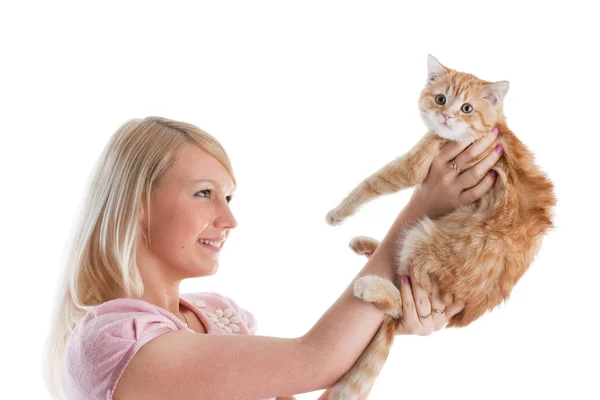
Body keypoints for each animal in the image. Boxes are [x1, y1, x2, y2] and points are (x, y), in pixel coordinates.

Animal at [326, 54, 556, 398]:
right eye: (440, 99)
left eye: (467, 108)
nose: (446, 116)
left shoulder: (414, 163)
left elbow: (373, 181)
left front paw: (339, 211)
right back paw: (368, 247)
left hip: (423, 239)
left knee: (401, 301)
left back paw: (371, 285)